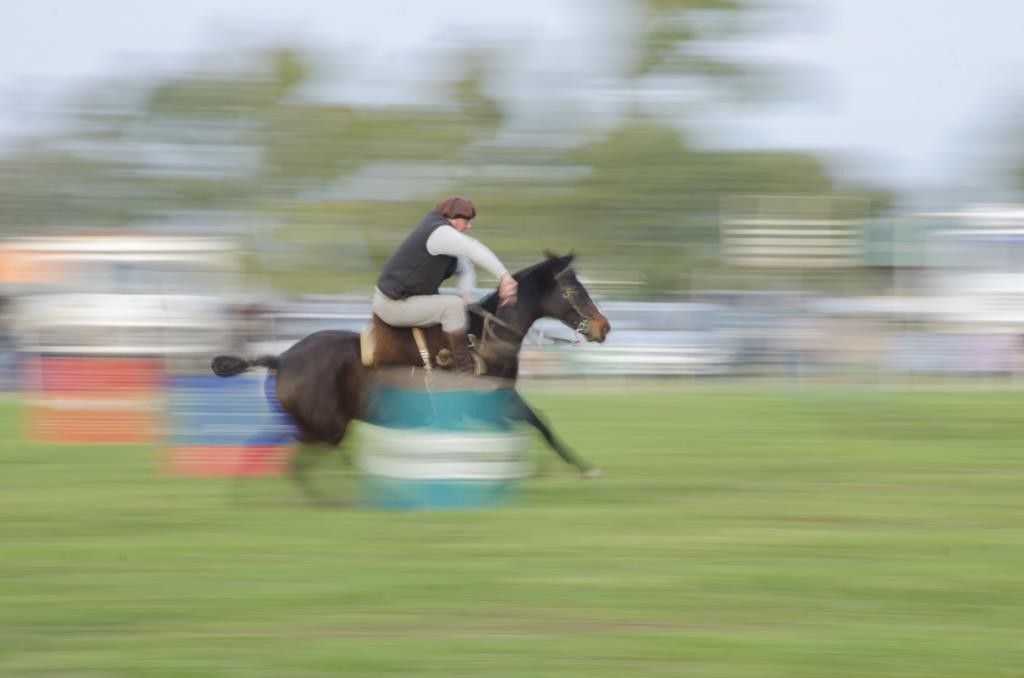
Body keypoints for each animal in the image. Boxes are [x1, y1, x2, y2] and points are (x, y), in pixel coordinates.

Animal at [208, 250, 606, 489]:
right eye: (575, 290)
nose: (604, 327)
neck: (485, 337)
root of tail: (281, 358)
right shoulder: (488, 405)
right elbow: (524, 431)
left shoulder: (503, 399)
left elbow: (537, 425)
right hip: (325, 426)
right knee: (301, 461)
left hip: (310, 423)